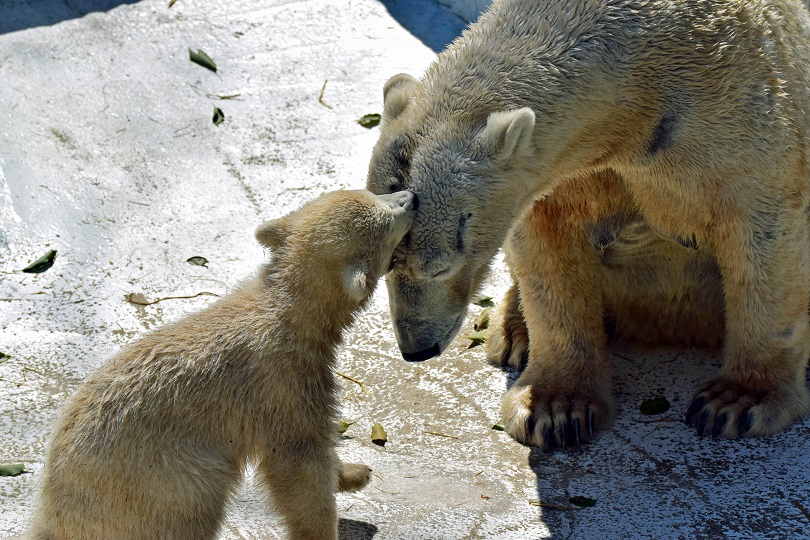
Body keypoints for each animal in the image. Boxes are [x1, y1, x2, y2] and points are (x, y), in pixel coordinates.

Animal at [366, 0, 808, 452]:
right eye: (384, 265)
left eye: (441, 267)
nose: (417, 350)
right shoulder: (572, 174)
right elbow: (548, 253)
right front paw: (554, 409)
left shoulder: (740, 120)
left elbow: (761, 236)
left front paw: (736, 401)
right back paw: (513, 331)